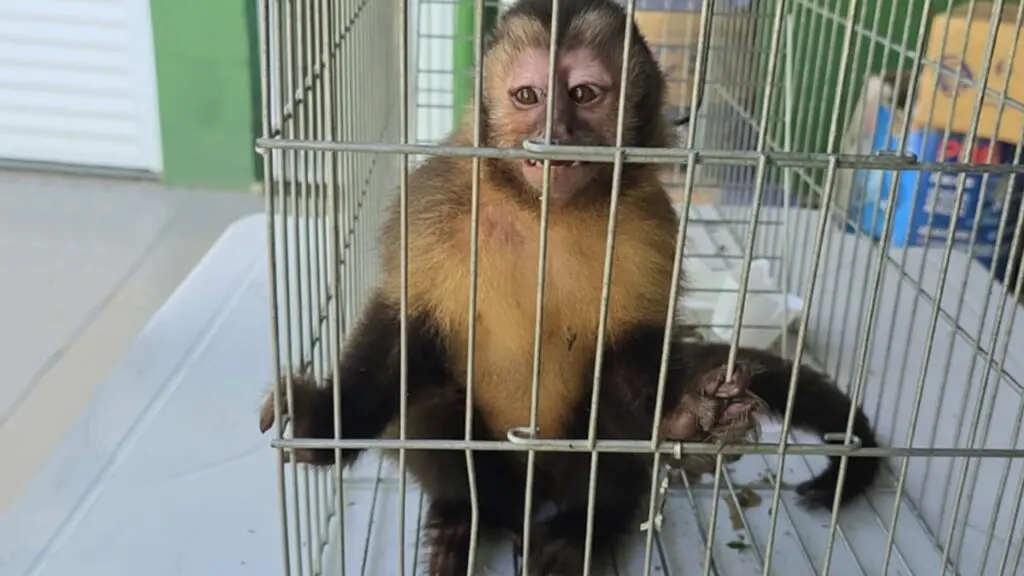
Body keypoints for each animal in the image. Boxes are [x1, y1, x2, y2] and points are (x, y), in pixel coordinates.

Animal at [257, 0, 881, 573]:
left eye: (583, 94)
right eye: (527, 96)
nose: (553, 133)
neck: (542, 214)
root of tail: (531, 495)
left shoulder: (648, 225)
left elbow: (633, 351)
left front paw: (685, 417)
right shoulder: (433, 205)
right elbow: (403, 330)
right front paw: (322, 426)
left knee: (607, 426)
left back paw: (585, 527)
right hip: (495, 473)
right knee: (431, 407)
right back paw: (465, 517)